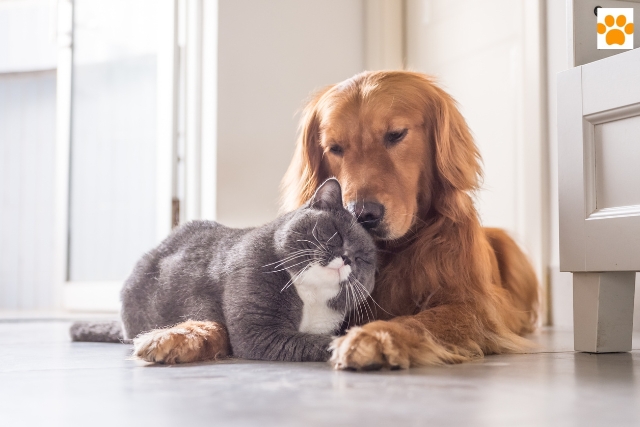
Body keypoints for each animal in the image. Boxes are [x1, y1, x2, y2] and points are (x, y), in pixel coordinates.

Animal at [70, 179, 378, 362]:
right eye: (336, 233)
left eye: (363, 259)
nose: (347, 258)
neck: (310, 296)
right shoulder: (258, 332)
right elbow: (316, 341)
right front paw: (350, 345)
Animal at [282, 70, 536, 372]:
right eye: (334, 148)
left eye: (396, 135)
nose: (362, 214)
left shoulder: (473, 307)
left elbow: (422, 320)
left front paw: (375, 336)